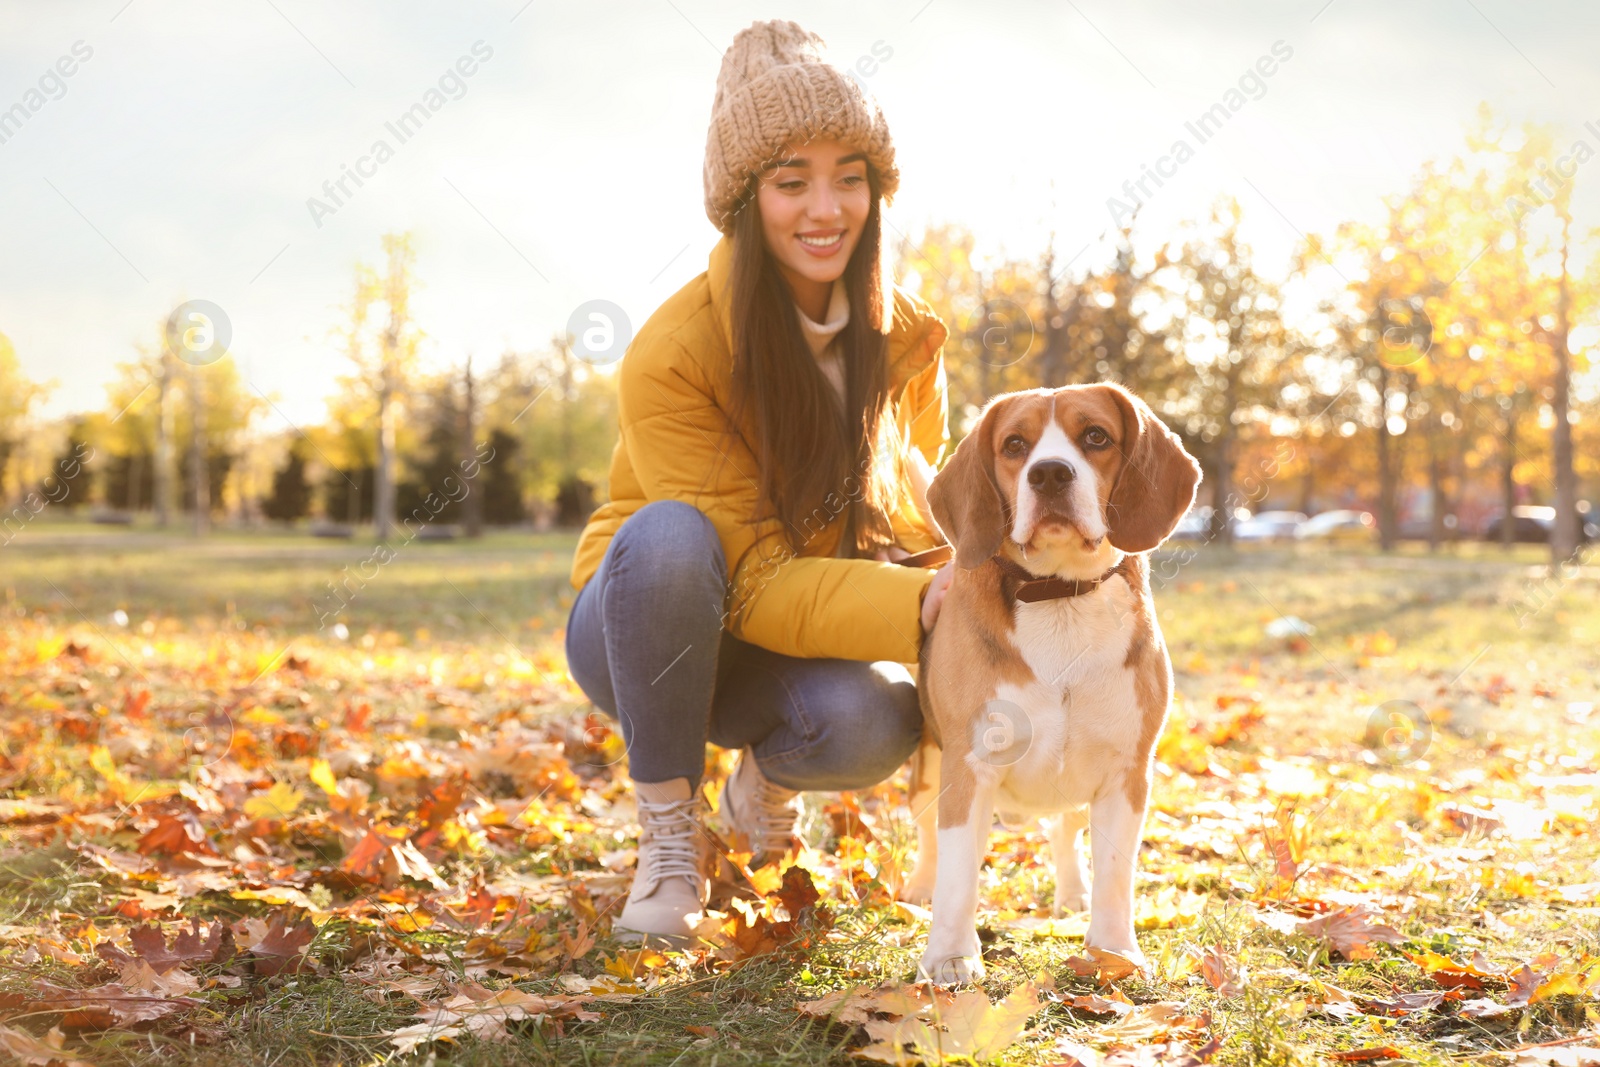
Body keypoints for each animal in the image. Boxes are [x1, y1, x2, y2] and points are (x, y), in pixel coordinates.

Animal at [902, 383, 1203, 985]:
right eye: (1015, 445)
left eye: (1096, 436)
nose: (1049, 474)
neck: (1060, 598)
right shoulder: (967, 768)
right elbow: (958, 876)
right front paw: (949, 957)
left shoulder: (1126, 772)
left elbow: (1115, 875)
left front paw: (1113, 953)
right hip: (927, 772)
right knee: (928, 838)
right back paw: (920, 886)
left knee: (1064, 832)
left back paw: (1071, 893)